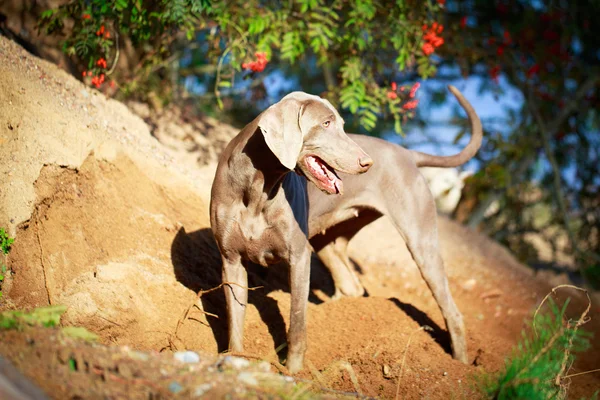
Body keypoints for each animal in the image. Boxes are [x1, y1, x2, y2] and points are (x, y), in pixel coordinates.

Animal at [209, 90, 372, 372]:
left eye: (341, 125)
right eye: (326, 124)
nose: (367, 162)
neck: (258, 188)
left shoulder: (299, 257)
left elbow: (297, 319)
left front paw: (294, 372)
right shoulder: (231, 260)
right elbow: (235, 316)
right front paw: (235, 359)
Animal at [308, 86, 480, 364]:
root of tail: (407, 153)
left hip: (421, 243)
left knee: (452, 312)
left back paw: (460, 364)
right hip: (334, 229)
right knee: (349, 282)